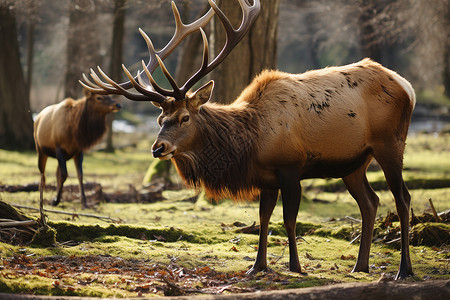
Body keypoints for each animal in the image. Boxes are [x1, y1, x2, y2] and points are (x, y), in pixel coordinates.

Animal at [80, 0, 414, 280]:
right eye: (160, 120)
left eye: (184, 117)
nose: (157, 148)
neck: (251, 142)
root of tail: (406, 86)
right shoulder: (265, 178)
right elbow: (263, 220)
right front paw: (257, 266)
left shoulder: (291, 167)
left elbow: (289, 219)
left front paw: (295, 267)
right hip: (354, 163)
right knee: (370, 202)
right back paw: (361, 265)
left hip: (390, 143)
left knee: (402, 198)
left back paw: (403, 270)